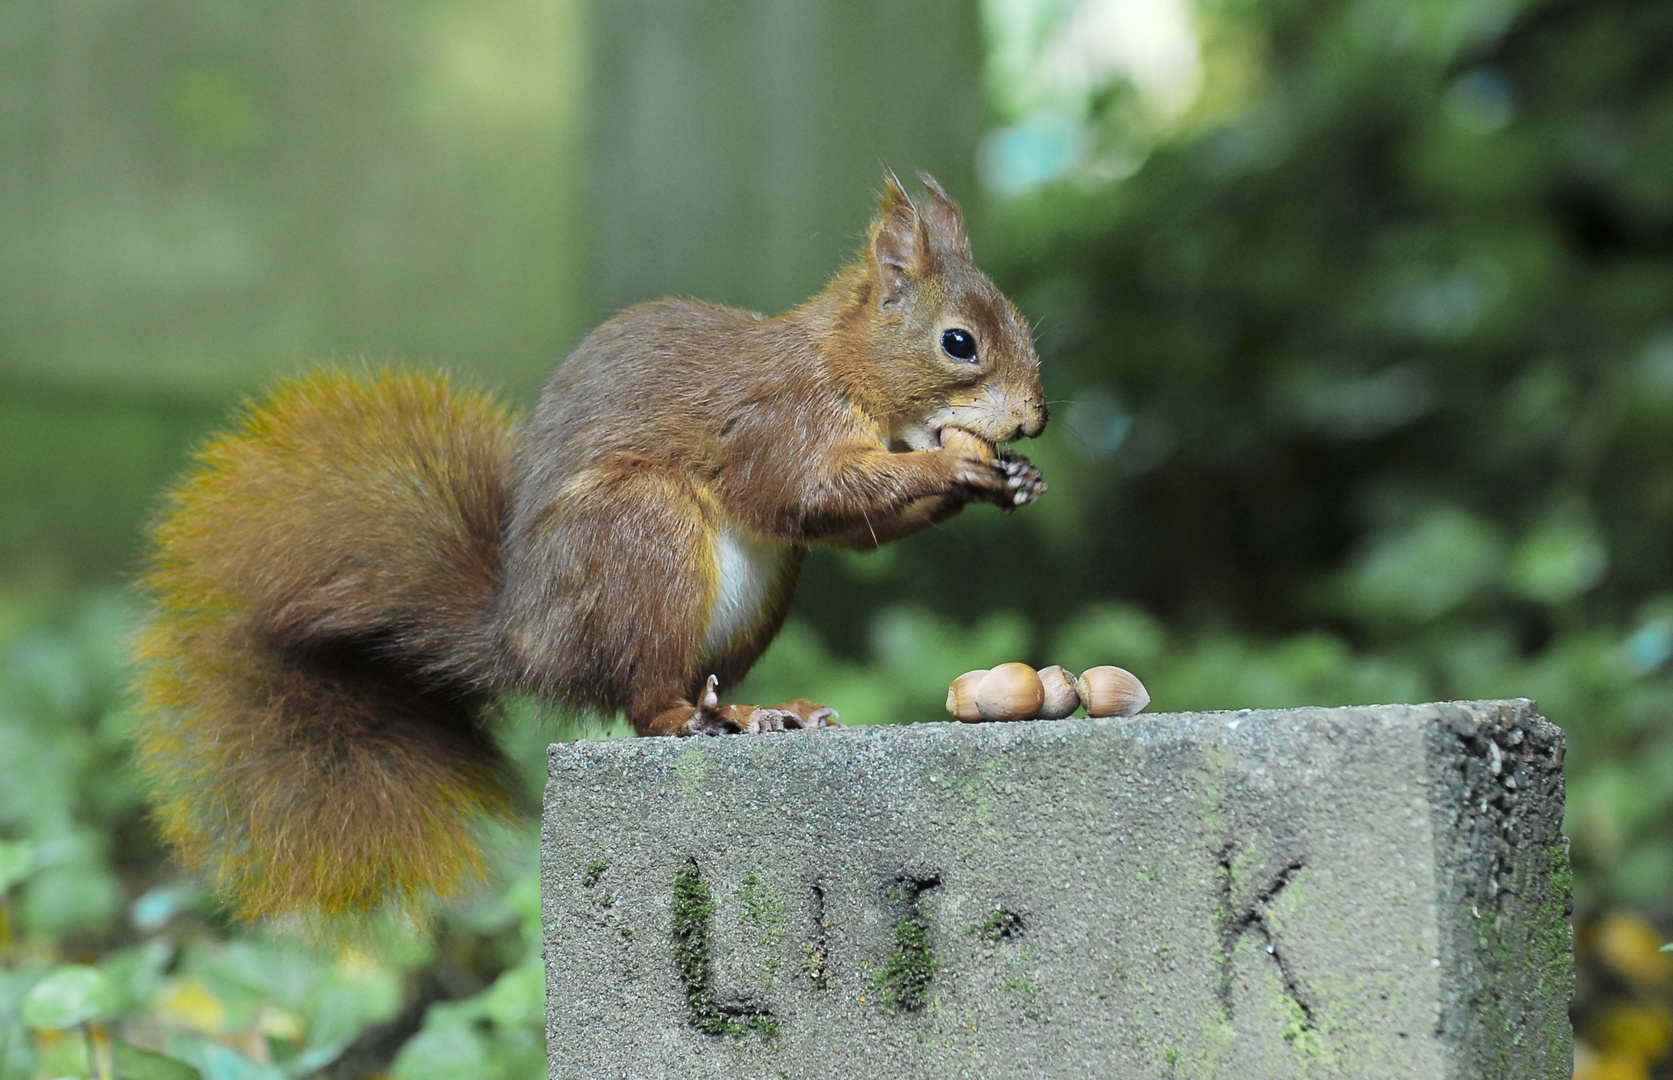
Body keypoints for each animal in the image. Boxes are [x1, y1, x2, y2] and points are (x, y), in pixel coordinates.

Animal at [133, 171, 1043, 922]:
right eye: (958, 342)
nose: (1034, 421)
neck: (843, 365)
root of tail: (527, 644)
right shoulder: (778, 425)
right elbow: (806, 493)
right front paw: (954, 464)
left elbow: (849, 528)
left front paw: (1011, 478)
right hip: (643, 534)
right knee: (643, 705)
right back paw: (707, 718)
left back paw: (766, 710)